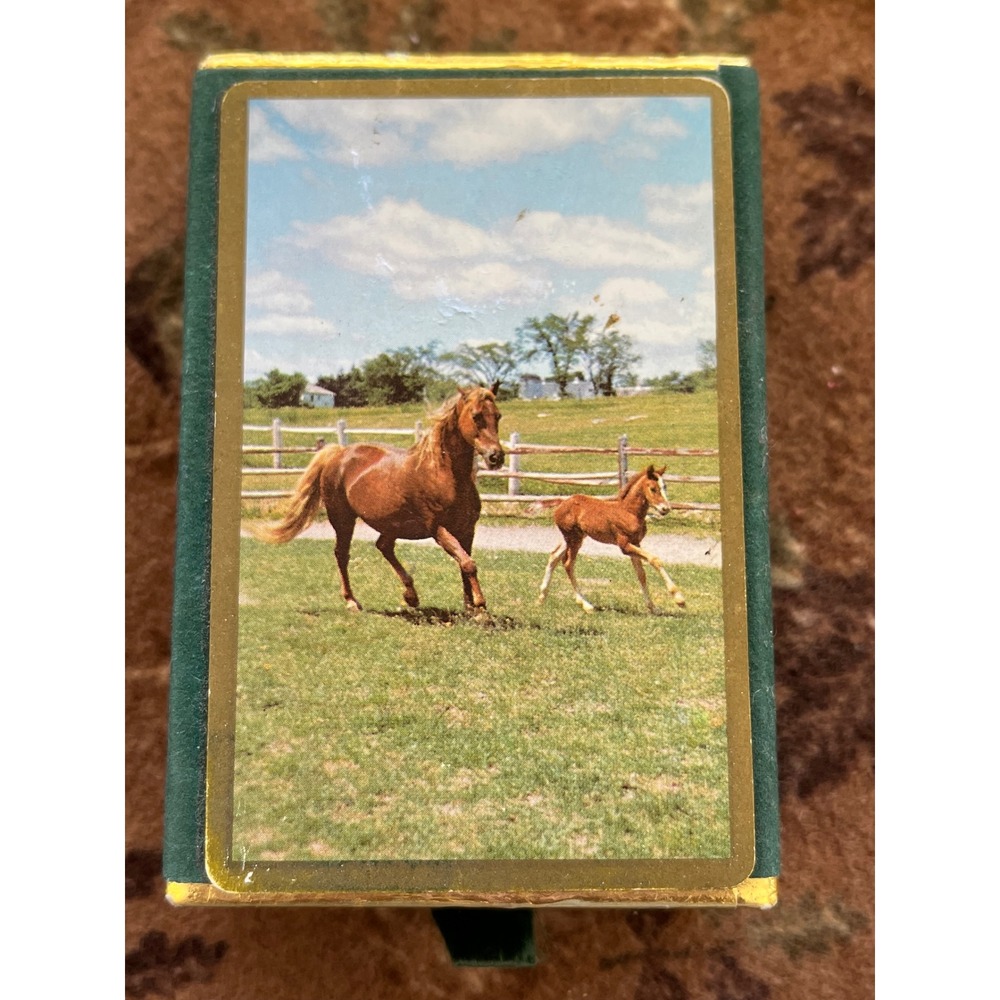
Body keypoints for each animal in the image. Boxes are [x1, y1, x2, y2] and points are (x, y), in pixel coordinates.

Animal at [261, 386, 504, 614]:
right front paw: (481, 607)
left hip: (390, 524)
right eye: (476, 416)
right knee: (342, 554)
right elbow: (468, 564)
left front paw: (471, 608)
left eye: (498, 416)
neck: (444, 473)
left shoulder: (467, 530)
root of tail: (339, 453)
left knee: (383, 547)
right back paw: (352, 601)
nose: (496, 457)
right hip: (343, 519)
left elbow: (464, 564)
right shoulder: (438, 528)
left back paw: (411, 596)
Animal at [537, 464, 686, 614]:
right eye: (653, 488)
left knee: (554, 556)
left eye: (665, 486)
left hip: (572, 537)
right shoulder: (624, 545)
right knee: (568, 564)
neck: (628, 512)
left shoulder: (636, 543)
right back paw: (586, 605)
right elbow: (654, 559)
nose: (665, 509)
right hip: (574, 539)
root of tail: (561, 503)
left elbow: (641, 574)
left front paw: (653, 608)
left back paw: (541, 598)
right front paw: (679, 599)